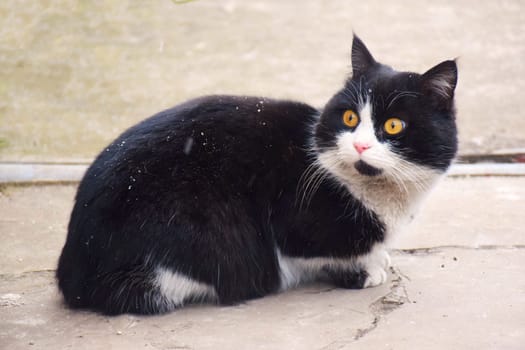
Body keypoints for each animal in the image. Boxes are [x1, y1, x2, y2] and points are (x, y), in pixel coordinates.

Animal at [57, 34, 456, 314]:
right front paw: (366, 270)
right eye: (350, 118)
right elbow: (318, 254)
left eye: (393, 125)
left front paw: (378, 258)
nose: (359, 146)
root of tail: (73, 264)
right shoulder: (292, 224)